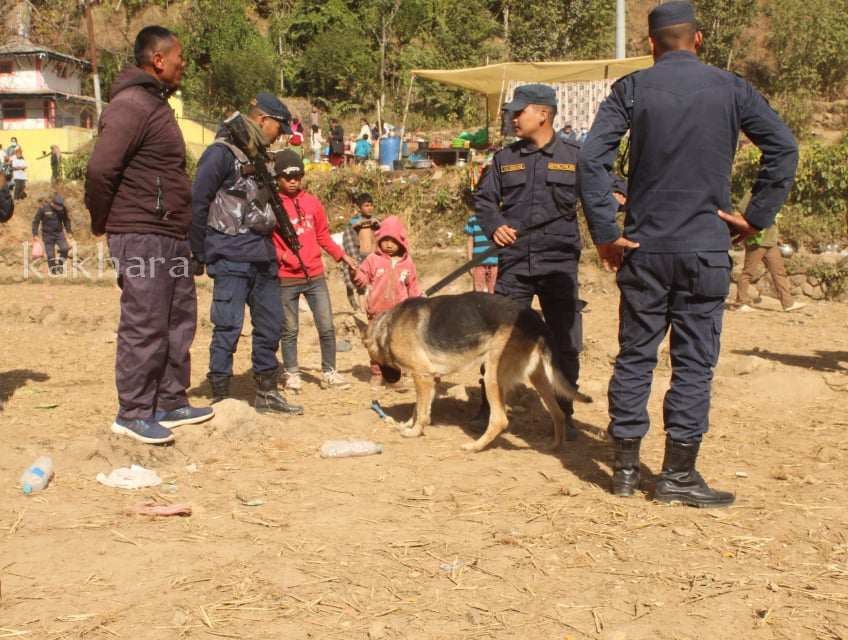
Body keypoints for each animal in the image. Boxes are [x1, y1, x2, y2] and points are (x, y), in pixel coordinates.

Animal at [362, 292, 588, 452]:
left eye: (374, 360)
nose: (391, 381)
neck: (388, 325)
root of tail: (537, 321)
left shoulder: (422, 376)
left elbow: (422, 411)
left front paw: (414, 431)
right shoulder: (430, 378)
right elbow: (419, 407)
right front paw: (409, 424)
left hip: (491, 376)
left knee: (500, 420)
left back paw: (474, 447)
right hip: (538, 377)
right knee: (558, 413)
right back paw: (554, 446)